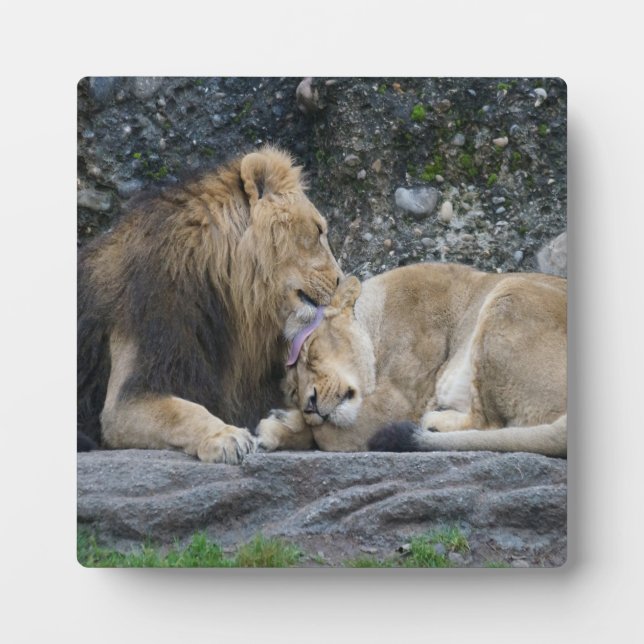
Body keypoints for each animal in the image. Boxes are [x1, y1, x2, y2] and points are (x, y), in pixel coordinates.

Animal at [77, 146, 342, 463]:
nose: (340, 280)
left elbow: (312, 425)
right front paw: (225, 436)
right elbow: (183, 412)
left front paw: (279, 426)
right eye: (318, 230)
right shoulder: (128, 396)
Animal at [257, 262, 567, 457]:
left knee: (490, 424)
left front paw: (281, 424)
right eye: (293, 390)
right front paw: (279, 426)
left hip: (510, 292)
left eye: (310, 353)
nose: (309, 405)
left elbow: (325, 434)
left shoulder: (400, 402)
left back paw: (433, 422)